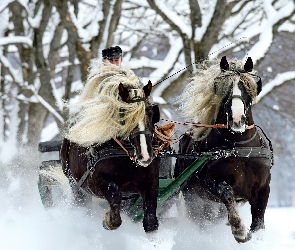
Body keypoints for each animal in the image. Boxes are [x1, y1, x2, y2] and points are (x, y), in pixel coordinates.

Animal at [60, 74, 162, 232]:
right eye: (125, 115)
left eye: (151, 113)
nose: (145, 156)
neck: (127, 156)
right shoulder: (99, 181)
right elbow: (115, 197)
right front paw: (109, 220)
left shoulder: (151, 181)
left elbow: (150, 220)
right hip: (76, 186)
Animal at [175, 56, 274, 242]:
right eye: (224, 88)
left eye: (247, 87)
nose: (237, 119)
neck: (241, 147)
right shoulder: (211, 184)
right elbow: (227, 192)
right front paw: (239, 229)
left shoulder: (263, 189)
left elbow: (258, 224)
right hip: (192, 196)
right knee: (201, 220)